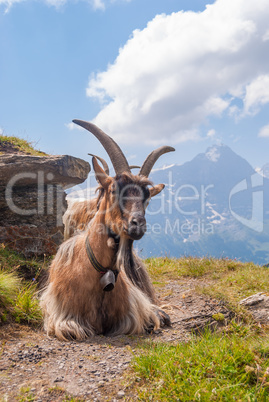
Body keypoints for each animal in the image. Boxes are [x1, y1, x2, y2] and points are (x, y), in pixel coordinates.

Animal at [39, 119, 174, 340]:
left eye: (147, 198)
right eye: (112, 189)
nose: (137, 224)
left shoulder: (132, 312)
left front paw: (159, 316)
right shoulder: (60, 316)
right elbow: (73, 329)